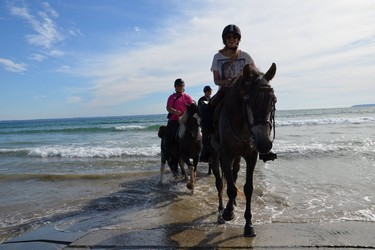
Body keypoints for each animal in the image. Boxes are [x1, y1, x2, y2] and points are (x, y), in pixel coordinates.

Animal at [212, 62, 280, 236]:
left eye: (273, 100)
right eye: (248, 100)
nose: (265, 144)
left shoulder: (251, 156)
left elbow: (248, 188)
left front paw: (249, 224)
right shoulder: (226, 156)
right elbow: (230, 188)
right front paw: (228, 213)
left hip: (237, 158)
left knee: (234, 175)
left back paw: (233, 204)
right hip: (214, 156)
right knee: (219, 183)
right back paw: (221, 210)